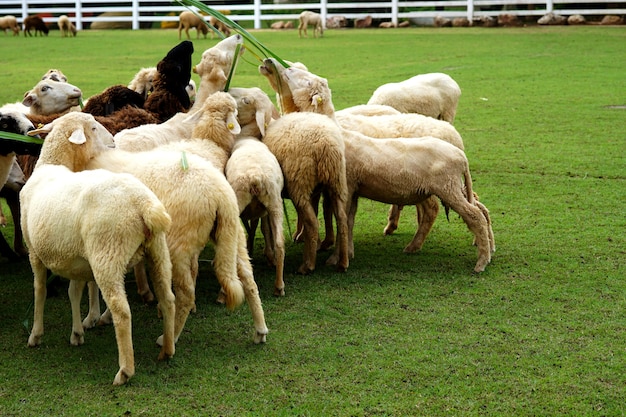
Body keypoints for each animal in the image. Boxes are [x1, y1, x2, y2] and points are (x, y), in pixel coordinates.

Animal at [21, 110, 176, 384]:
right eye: (93, 128)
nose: (113, 140)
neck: (50, 165)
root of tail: (143, 204)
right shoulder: (74, 258)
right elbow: (73, 292)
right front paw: (77, 332)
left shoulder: (34, 252)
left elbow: (39, 290)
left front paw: (36, 334)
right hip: (158, 251)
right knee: (168, 298)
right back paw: (167, 349)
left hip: (108, 255)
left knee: (122, 311)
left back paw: (125, 371)